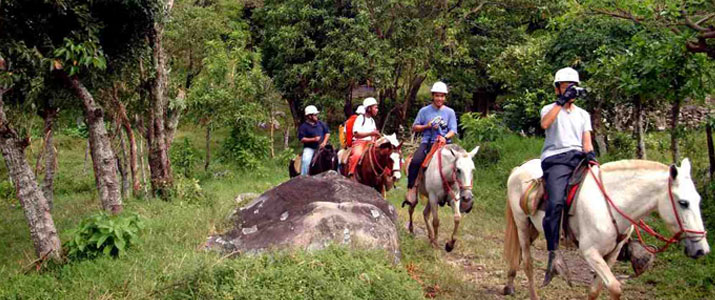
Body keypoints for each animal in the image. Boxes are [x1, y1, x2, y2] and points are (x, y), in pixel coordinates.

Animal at [504, 158, 712, 298]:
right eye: (683, 203)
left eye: (698, 200)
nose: (702, 249)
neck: (610, 203)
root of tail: (519, 168)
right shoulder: (590, 252)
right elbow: (614, 287)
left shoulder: (612, 254)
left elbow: (595, 290)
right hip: (522, 224)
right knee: (528, 262)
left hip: (534, 228)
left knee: (519, 255)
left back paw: (509, 285)